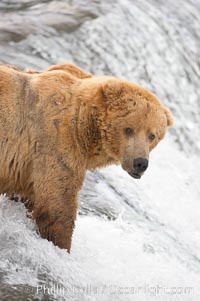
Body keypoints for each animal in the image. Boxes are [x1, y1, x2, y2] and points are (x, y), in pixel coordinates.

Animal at [0, 63, 173, 251]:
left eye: (152, 135)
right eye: (129, 129)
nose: (140, 162)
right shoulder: (55, 143)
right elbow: (56, 207)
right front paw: (61, 246)